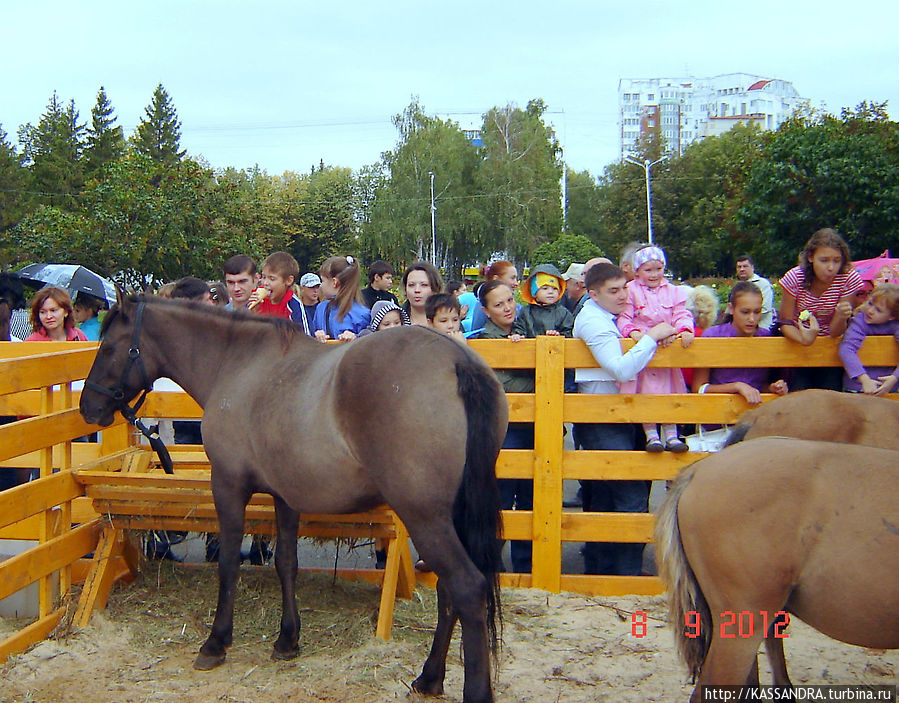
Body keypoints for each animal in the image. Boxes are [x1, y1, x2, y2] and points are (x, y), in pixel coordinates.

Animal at [81, 292, 510, 703]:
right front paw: (287, 638)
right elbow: (285, 563)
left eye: (109, 347)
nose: (88, 407)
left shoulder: (228, 487)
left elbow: (228, 565)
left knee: (467, 587)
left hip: (425, 518)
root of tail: (456, 360)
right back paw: (429, 678)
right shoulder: (284, 496)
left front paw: (216, 642)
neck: (238, 366)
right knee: (448, 591)